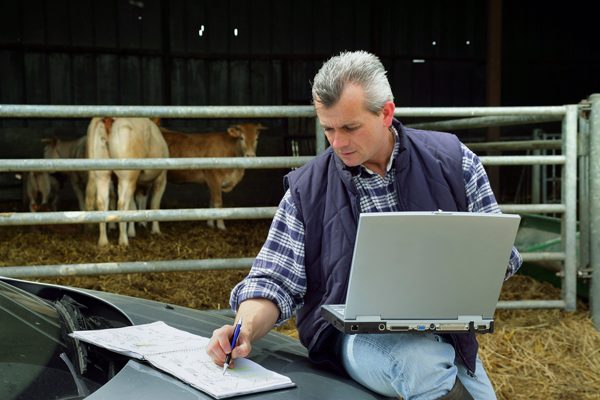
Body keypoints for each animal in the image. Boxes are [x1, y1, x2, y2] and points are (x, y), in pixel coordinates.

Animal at [85, 117, 169, 245]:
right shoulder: (161, 177)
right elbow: (155, 204)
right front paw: (155, 230)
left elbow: (135, 204)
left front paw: (134, 229)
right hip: (127, 176)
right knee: (122, 203)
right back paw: (123, 240)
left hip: (102, 174)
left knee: (102, 202)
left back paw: (103, 241)